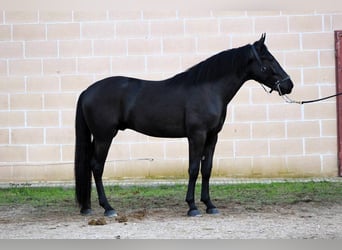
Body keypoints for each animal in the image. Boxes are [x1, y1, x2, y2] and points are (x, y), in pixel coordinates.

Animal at [75, 33, 294, 217]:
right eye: (269, 60)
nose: (289, 85)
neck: (208, 89)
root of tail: (87, 91)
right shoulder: (197, 135)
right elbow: (193, 168)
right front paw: (192, 207)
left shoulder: (212, 136)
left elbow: (207, 169)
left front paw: (210, 205)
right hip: (104, 137)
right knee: (97, 167)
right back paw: (108, 208)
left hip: (98, 138)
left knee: (89, 166)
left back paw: (87, 208)